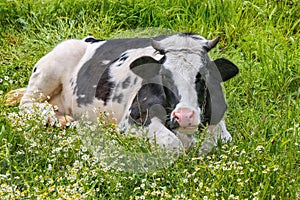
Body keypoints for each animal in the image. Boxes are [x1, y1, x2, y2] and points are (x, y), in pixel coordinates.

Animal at [16, 32, 238, 152]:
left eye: (204, 74)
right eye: (164, 75)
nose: (184, 116)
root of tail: (89, 40)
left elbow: (217, 140)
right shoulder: (133, 118)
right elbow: (173, 144)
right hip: (52, 66)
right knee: (26, 103)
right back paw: (55, 118)